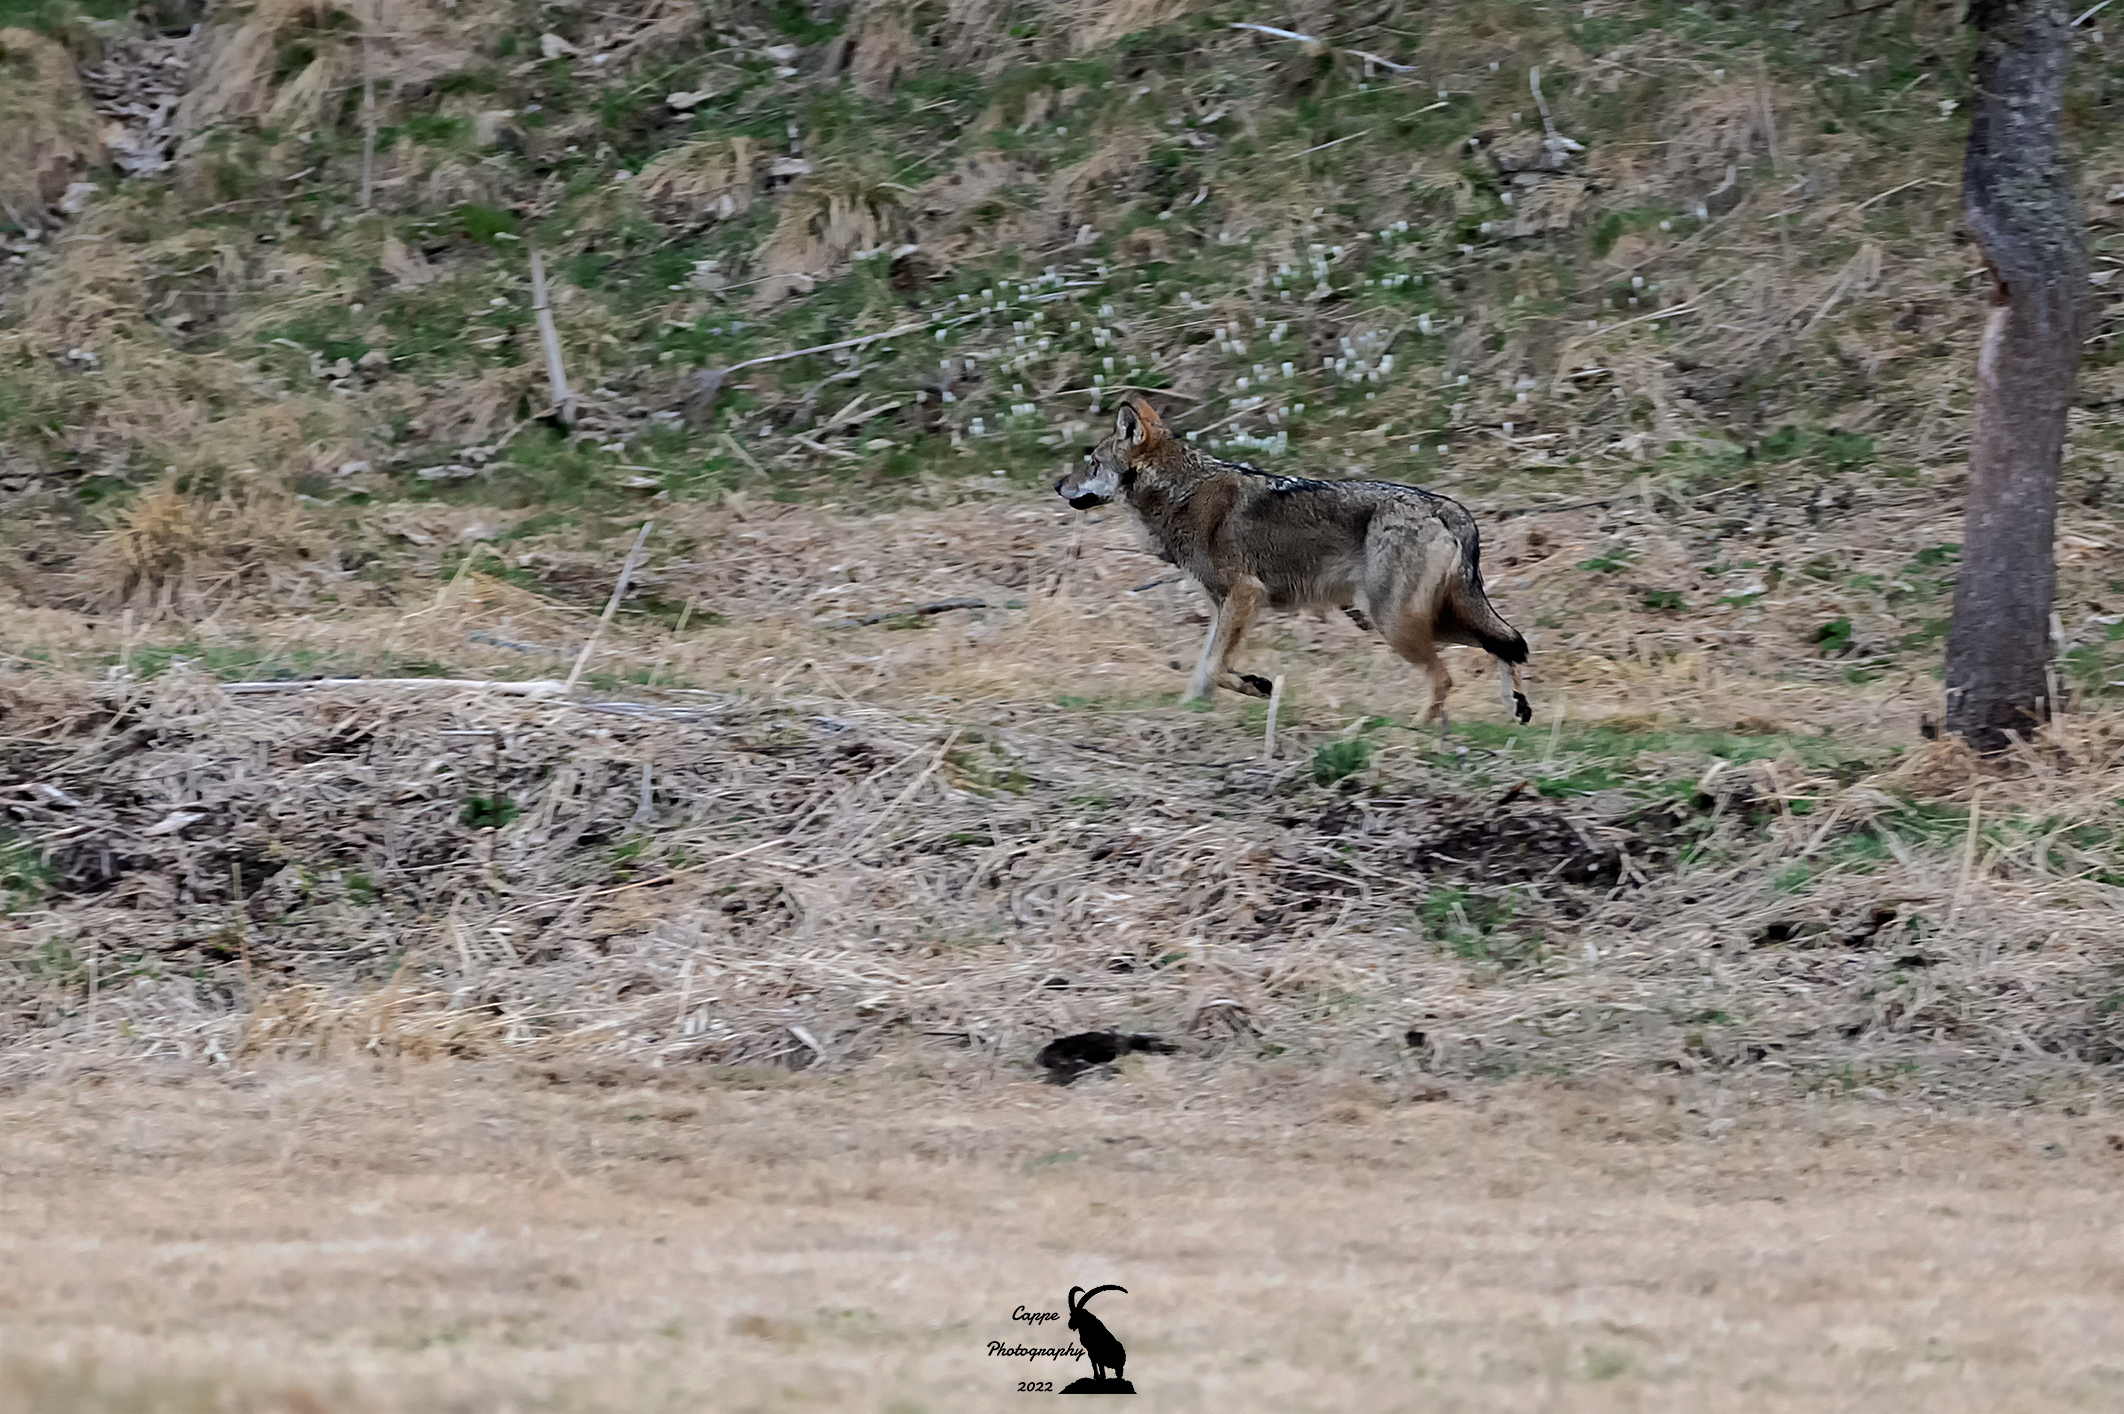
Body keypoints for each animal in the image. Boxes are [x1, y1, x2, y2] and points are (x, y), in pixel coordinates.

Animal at [1056, 394, 1532, 732]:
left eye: (1091, 462)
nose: (1058, 483)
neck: (1180, 492)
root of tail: (1446, 506)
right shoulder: (1224, 604)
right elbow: (1205, 666)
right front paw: (1191, 709)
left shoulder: (1244, 594)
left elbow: (1214, 665)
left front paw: (1256, 686)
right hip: (1428, 620)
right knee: (1506, 643)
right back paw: (1517, 707)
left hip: (1395, 622)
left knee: (1449, 676)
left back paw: (1414, 728)